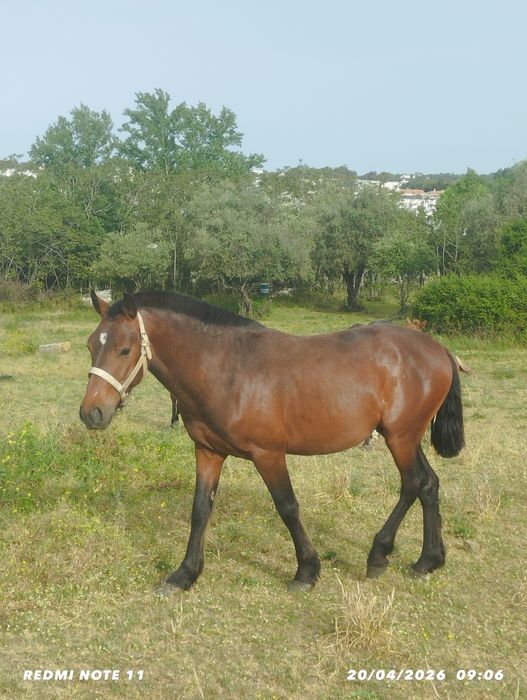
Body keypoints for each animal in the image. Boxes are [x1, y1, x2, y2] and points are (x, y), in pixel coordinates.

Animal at [80, 291, 464, 594]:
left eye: (124, 349)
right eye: (91, 344)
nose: (91, 413)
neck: (229, 370)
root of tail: (439, 349)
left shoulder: (269, 454)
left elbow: (288, 507)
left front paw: (307, 571)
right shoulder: (208, 452)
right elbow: (200, 510)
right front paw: (185, 574)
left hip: (400, 437)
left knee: (413, 483)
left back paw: (379, 554)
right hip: (407, 438)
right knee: (429, 484)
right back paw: (429, 560)